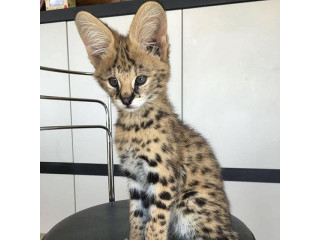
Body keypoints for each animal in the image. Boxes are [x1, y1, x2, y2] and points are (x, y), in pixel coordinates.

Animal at [75, 1, 238, 240]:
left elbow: (156, 220)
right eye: (113, 81)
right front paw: (135, 237)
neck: (135, 123)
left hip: (191, 201)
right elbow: (136, 215)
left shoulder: (163, 177)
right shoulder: (134, 177)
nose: (126, 99)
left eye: (140, 79)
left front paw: (152, 236)